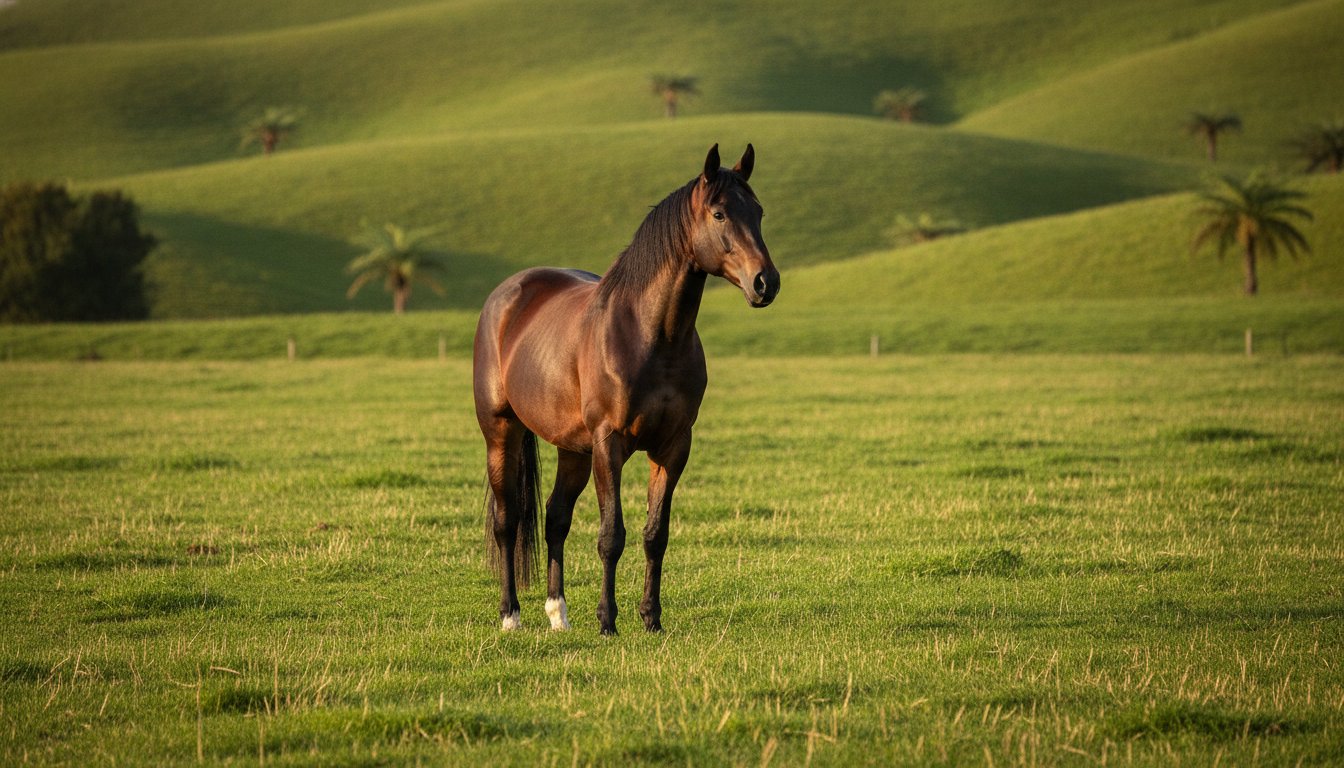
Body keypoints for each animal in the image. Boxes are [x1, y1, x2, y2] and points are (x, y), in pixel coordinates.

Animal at [472, 144, 779, 634]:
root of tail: (507, 294)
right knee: (507, 522)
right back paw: (511, 615)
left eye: (759, 212)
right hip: (503, 433)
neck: (650, 336)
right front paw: (607, 621)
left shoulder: (673, 446)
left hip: (572, 450)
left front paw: (651, 618)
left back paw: (558, 613)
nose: (766, 282)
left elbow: (656, 535)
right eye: (718, 213)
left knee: (555, 519)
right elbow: (611, 535)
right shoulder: (609, 443)